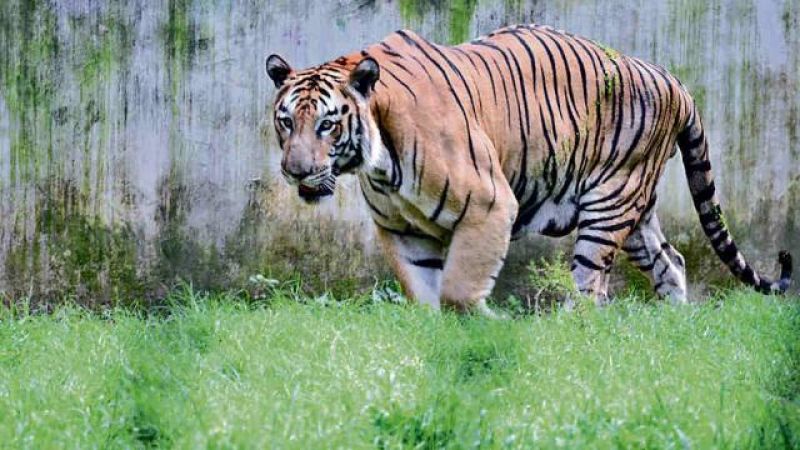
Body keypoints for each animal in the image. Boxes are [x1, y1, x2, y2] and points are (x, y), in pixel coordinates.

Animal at [265, 24, 792, 313]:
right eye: (286, 121)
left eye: (328, 124)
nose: (295, 171)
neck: (376, 161)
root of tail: (672, 79)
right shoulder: (401, 229)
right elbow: (425, 295)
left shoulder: (489, 205)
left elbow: (458, 290)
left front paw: (482, 325)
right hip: (637, 210)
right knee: (672, 262)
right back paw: (672, 330)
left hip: (609, 204)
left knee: (591, 289)